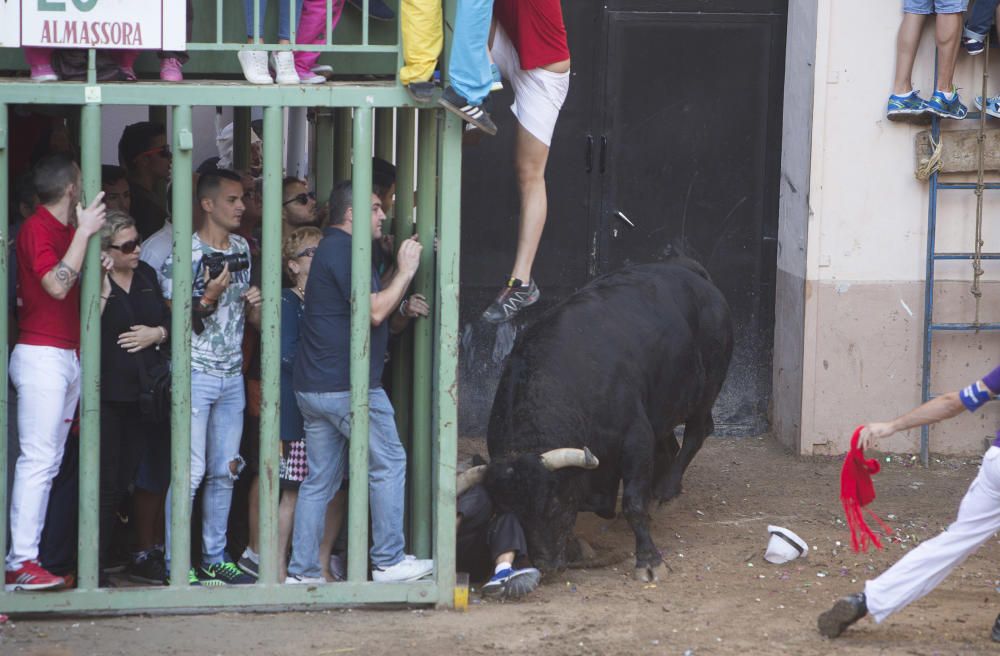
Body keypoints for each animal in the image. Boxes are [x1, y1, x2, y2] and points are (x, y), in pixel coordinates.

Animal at [480, 258, 732, 580]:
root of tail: (692, 272)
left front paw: (649, 560)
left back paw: (666, 490)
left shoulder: (635, 437)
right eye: (511, 513)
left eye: (553, 505)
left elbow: (632, 502)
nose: (547, 565)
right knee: (669, 446)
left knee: (697, 432)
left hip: (708, 387)